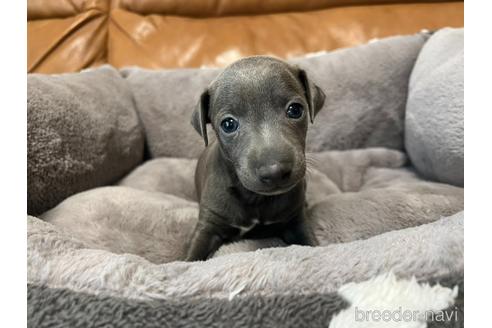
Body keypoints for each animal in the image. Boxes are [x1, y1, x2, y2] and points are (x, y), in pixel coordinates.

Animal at [186, 56, 324, 262]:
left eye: (295, 110)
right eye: (228, 124)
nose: (274, 171)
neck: (255, 199)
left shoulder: (296, 221)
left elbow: (312, 245)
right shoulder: (209, 225)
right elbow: (190, 257)